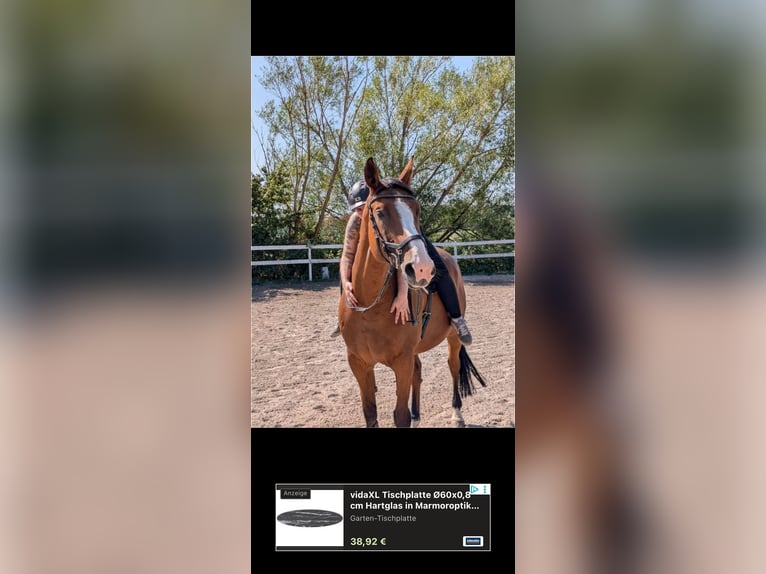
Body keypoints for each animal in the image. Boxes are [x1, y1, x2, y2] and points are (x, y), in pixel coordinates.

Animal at [338, 157, 487, 428]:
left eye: (416, 211)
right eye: (379, 212)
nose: (421, 268)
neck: (370, 307)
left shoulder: (401, 362)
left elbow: (400, 416)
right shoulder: (359, 364)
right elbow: (370, 413)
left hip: (452, 338)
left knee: (452, 366)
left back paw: (457, 413)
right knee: (419, 372)